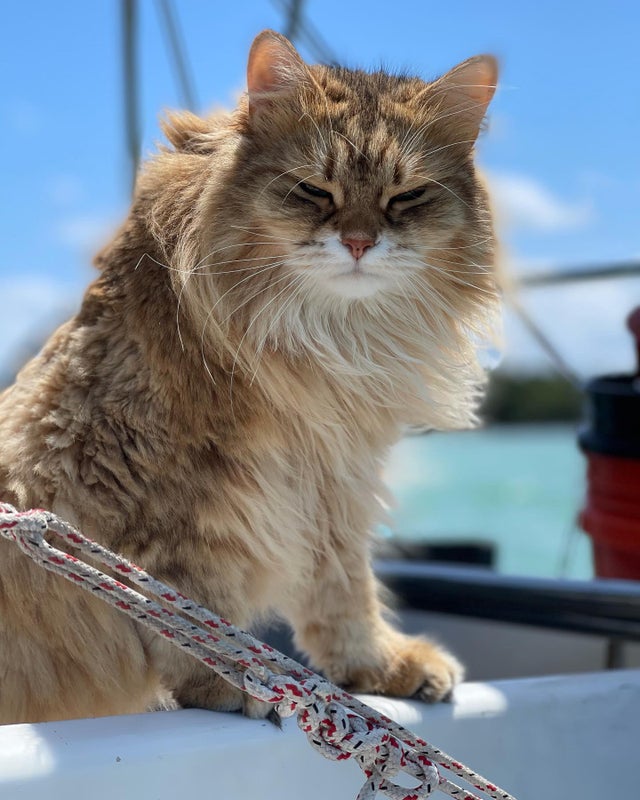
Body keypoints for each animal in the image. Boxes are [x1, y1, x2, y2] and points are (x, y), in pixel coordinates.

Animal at [0, 31, 500, 720]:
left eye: (406, 198)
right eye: (315, 190)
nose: (358, 242)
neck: (321, 341)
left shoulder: (330, 485)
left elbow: (344, 597)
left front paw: (379, 669)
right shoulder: (164, 497)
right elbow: (193, 615)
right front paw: (230, 683)